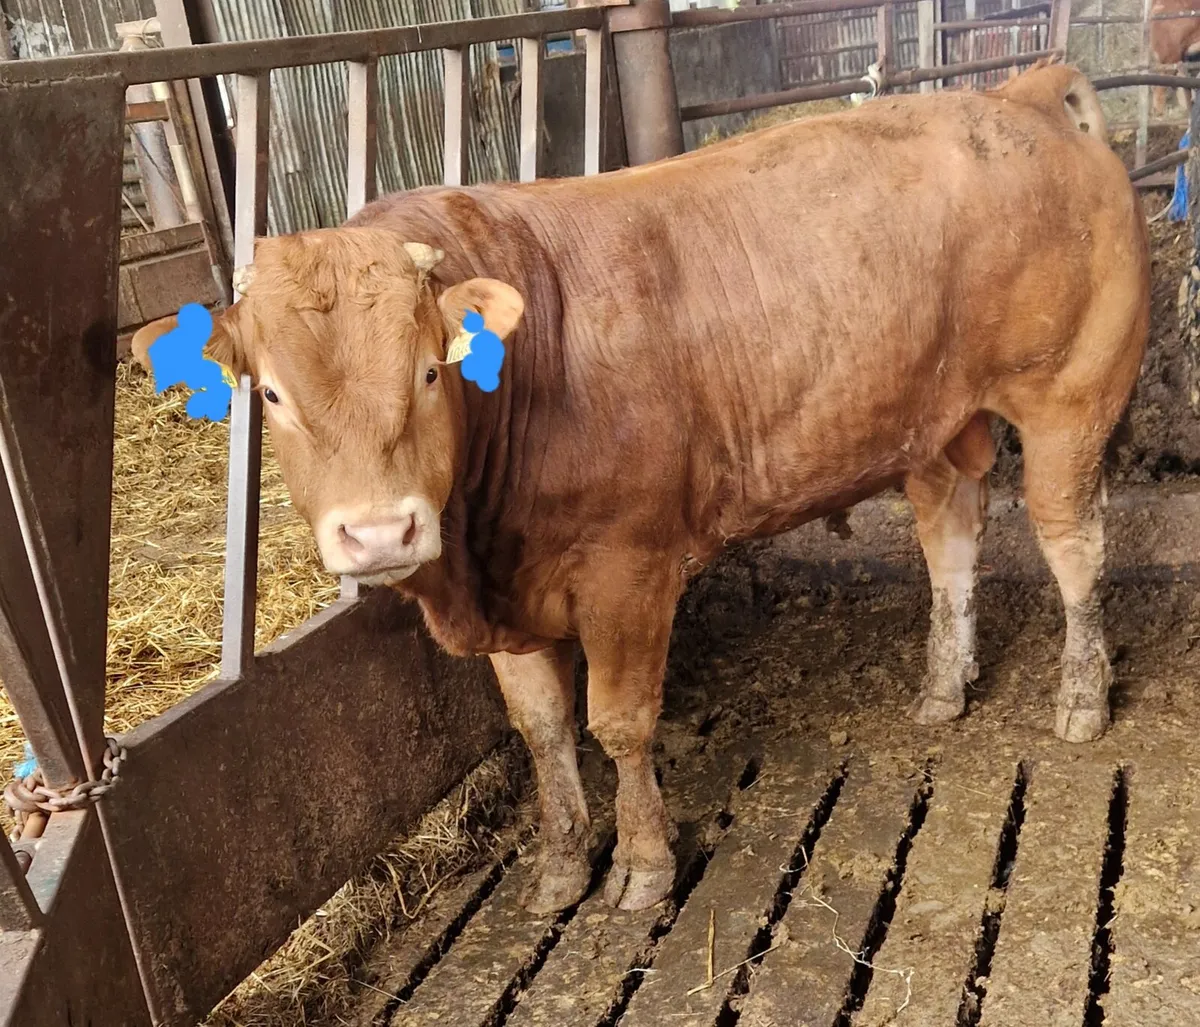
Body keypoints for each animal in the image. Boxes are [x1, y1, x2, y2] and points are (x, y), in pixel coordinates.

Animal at [134, 63, 1150, 915]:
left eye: (430, 370)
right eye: (269, 393)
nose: (380, 535)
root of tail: (1024, 92)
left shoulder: (627, 569)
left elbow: (618, 723)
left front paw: (645, 865)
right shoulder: (511, 603)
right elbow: (544, 731)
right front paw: (560, 866)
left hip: (1069, 398)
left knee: (1073, 541)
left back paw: (1082, 697)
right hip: (932, 420)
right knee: (952, 539)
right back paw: (944, 684)